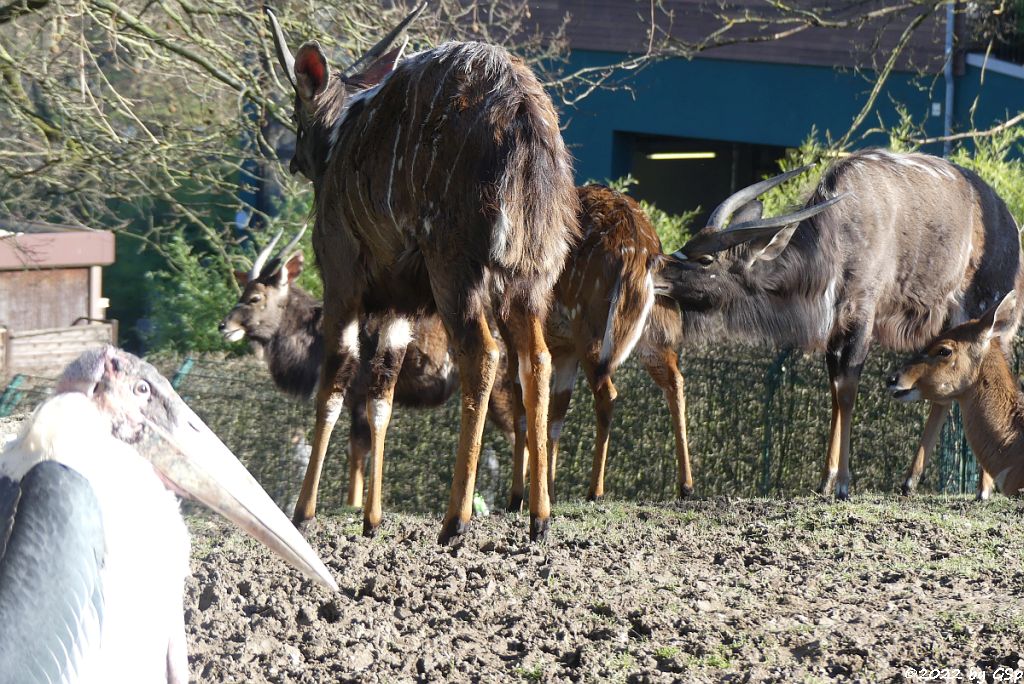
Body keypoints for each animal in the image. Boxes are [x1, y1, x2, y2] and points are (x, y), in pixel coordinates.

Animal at [220, 229, 516, 507]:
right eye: (242, 293)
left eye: (255, 298)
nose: (225, 326)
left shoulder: (362, 396)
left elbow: (359, 447)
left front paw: (353, 504)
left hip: (499, 390)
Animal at [266, 2, 577, 540]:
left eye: (294, 111)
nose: (294, 159)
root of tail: (521, 113)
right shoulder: (399, 305)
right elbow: (381, 395)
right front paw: (371, 519)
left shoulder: (343, 284)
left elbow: (334, 384)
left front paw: (303, 513)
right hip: (526, 279)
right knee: (535, 359)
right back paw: (539, 518)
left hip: (455, 270)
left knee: (484, 354)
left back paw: (456, 521)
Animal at [507, 184, 692, 509]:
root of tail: (641, 252)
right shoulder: (564, 352)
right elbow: (555, 417)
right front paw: (549, 491)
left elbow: (523, 412)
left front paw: (517, 497)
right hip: (651, 331)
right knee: (675, 380)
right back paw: (686, 486)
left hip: (591, 328)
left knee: (608, 393)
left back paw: (595, 490)